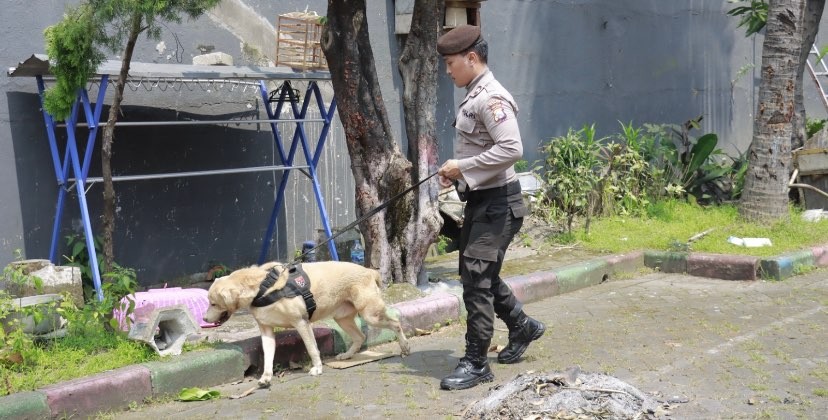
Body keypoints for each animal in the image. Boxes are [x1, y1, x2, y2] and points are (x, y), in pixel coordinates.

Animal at [204, 260, 410, 386]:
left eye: (213, 303)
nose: (204, 319)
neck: (262, 287)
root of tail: (369, 271)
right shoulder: (266, 331)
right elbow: (268, 356)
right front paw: (266, 377)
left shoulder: (301, 323)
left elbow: (312, 349)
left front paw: (317, 368)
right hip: (342, 317)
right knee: (360, 336)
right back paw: (348, 355)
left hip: (370, 314)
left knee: (395, 323)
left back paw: (405, 347)